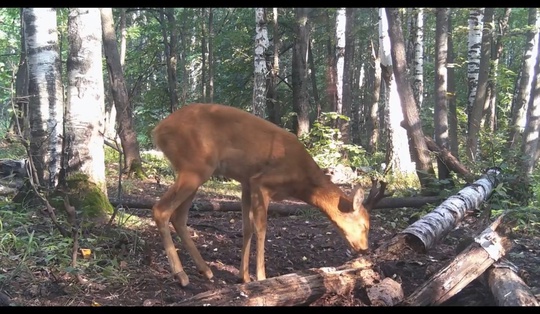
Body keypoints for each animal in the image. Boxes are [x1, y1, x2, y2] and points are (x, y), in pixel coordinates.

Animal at [150, 103, 384, 288]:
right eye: (365, 225)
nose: (364, 248)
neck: (301, 180)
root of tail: (158, 130)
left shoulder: (246, 183)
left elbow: (246, 228)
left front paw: (243, 277)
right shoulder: (262, 182)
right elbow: (261, 228)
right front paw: (262, 276)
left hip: (196, 171)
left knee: (178, 217)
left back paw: (205, 270)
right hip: (195, 167)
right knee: (161, 210)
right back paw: (181, 274)